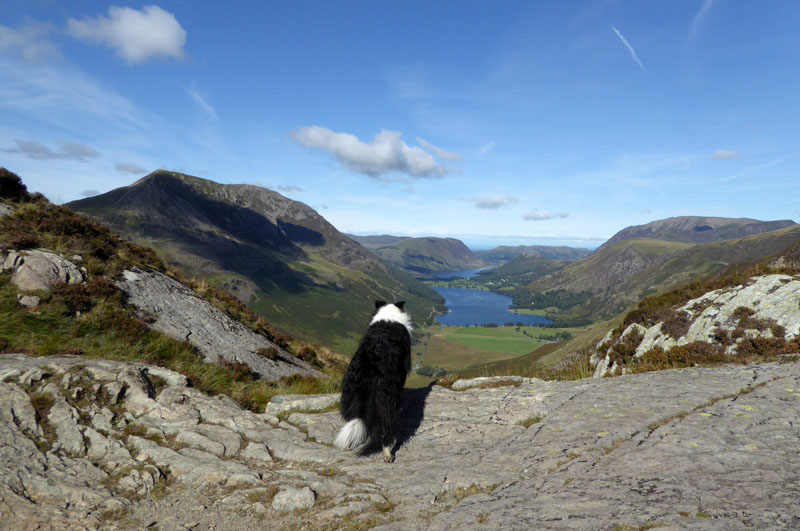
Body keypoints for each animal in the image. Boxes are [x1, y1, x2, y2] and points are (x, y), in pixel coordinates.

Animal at [334, 302, 416, 464]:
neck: (388, 318)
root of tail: (368, 369)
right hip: (385, 401)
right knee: (386, 431)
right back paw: (388, 454)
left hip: (350, 394)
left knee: (352, 420)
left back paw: (349, 445)